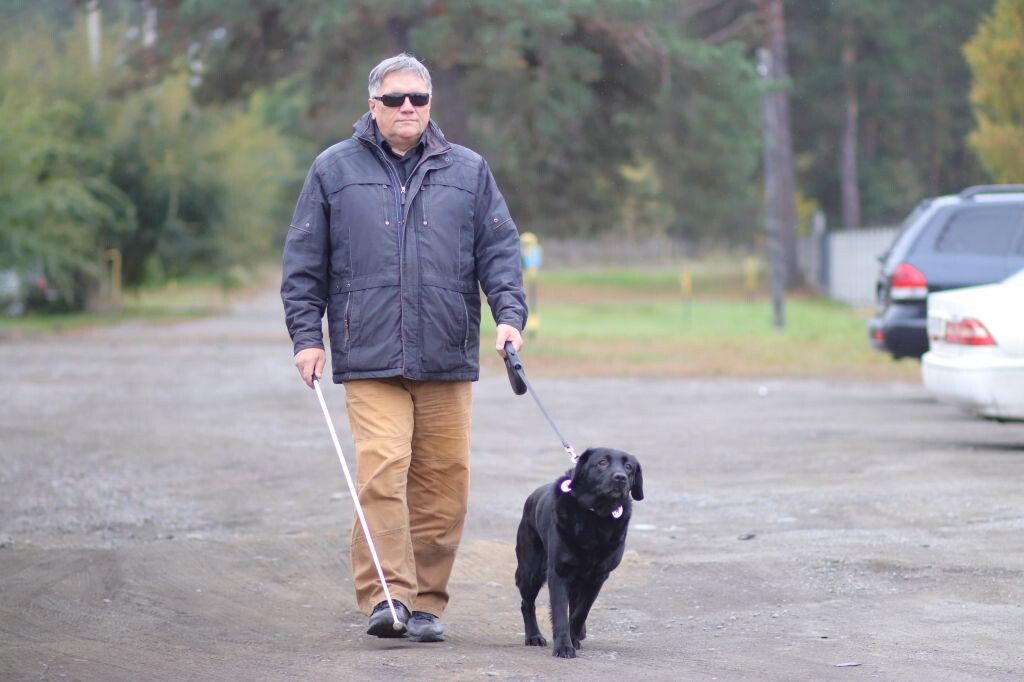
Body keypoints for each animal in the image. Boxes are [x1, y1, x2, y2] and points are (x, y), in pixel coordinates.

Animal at [516, 444, 643, 655]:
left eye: (629, 467)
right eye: (602, 462)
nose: (620, 477)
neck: (596, 517)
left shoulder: (597, 577)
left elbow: (580, 612)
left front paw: (573, 638)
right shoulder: (558, 572)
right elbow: (560, 611)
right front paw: (564, 647)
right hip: (530, 572)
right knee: (527, 604)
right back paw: (534, 636)